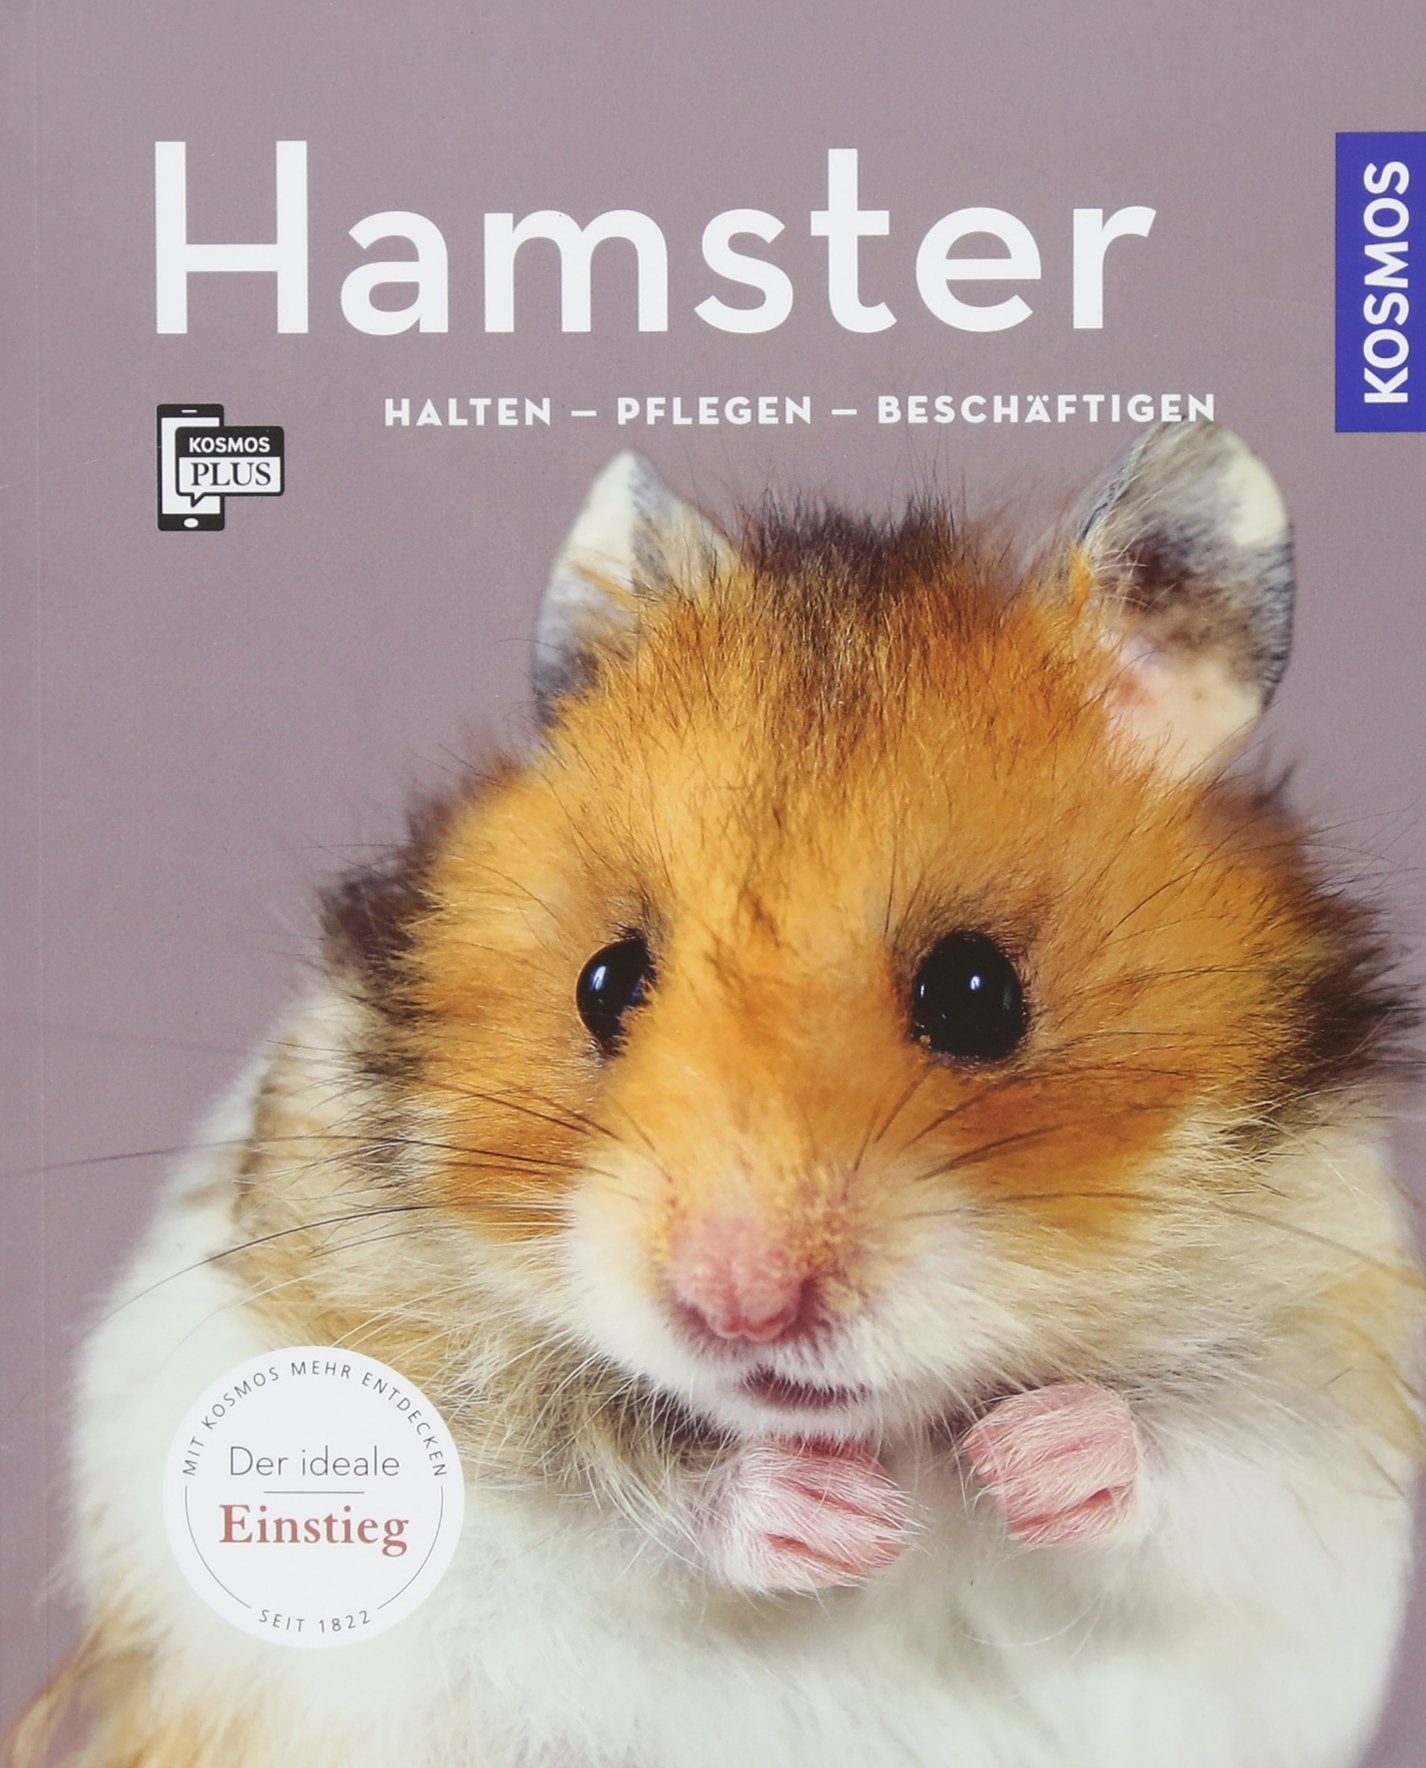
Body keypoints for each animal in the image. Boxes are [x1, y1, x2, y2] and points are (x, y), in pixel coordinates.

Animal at [14, 423, 1422, 1768]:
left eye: (979, 992)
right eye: (605, 979)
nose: (737, 1303)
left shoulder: (1338, 1391)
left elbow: (1200, 1461)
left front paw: (1022, 1458)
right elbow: (607, 1484)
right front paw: (847, 1522)